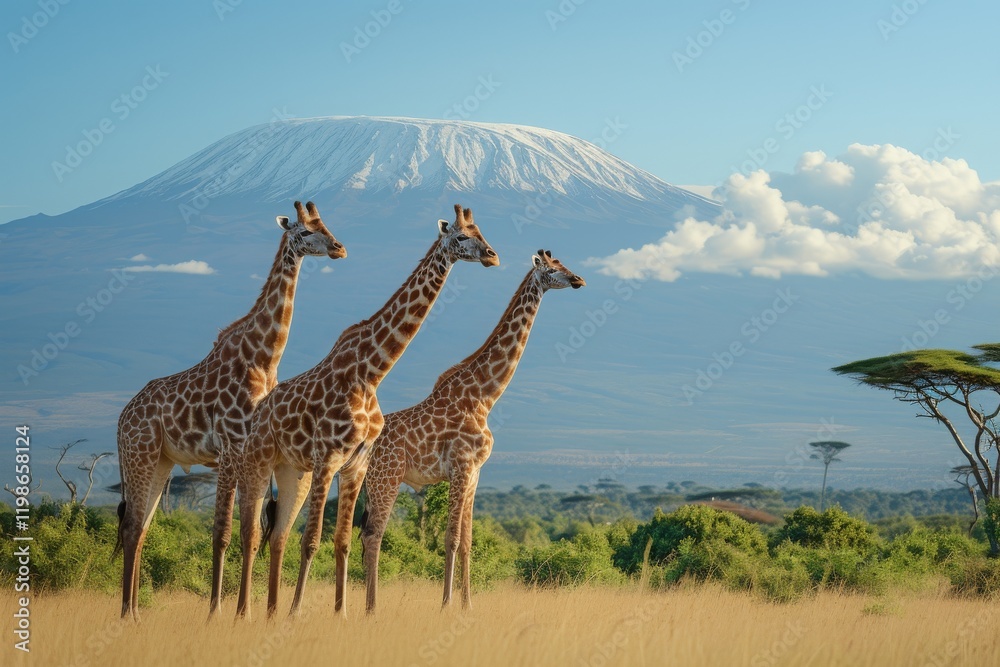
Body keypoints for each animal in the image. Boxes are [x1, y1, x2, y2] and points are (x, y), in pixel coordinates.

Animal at [115, 201, 346, 621]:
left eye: (326, 225)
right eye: (305, 231)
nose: (339, 248)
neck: (263, 358)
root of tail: (122, 419)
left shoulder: (253, 451)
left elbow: (252, 532)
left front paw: (247, 610)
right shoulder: (229, 448)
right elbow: (223, 532)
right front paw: (218, 611)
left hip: (160, 462)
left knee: (140, 528)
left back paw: (136, 613)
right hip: (138, 456)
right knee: (132, 526)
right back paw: (127, 613)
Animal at [222, 204, 499, 620]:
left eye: (481, 232)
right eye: (463, 237)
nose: (492, 256)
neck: (371, 372)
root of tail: (257, 414)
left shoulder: (356, 464)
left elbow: (342, 541)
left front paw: (341, 613)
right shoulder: (328, 457)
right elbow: (312, 539)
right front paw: (296, 612)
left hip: (291, 470)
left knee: (278, 534)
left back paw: (268, 610)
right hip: (257, 461)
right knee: (251, 531)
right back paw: (245, 612)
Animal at [360, 249, 585, 612]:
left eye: (564, 264)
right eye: (553, 269)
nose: (579, 279)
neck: (485, 396)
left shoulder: (476, 472)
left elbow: (467, 540)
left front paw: (467, 605)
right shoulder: (462, 466)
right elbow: (451, 538)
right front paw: (446, 604)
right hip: (387, 477)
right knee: (373, 535)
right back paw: (371, 607)